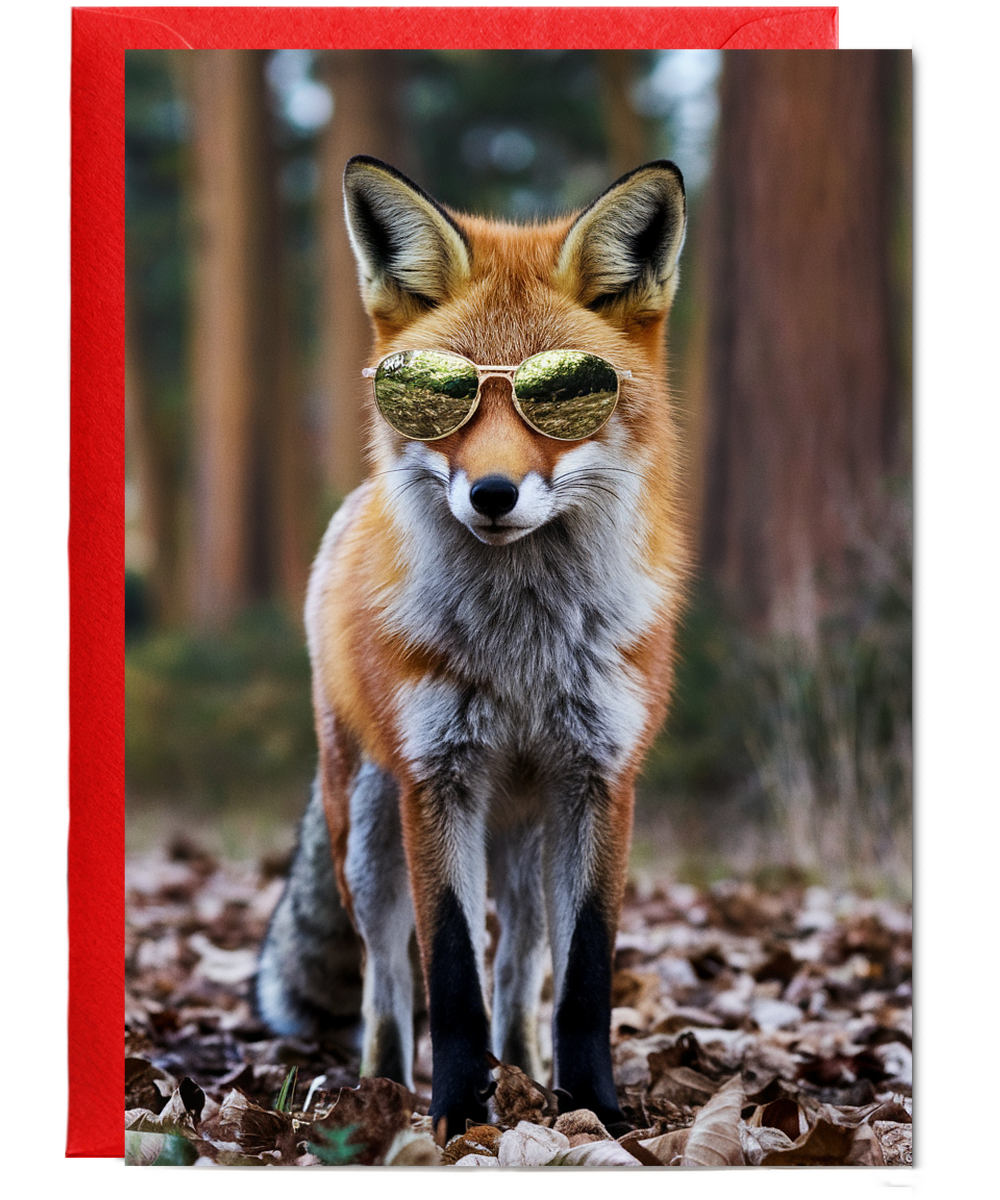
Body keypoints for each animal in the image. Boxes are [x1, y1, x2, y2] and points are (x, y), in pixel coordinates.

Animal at [256, 155, 688, 1141]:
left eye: (565, 395)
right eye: (441, 397)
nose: (492, 494)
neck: (522, 653)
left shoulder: (600, 780)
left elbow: (581, 978)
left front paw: (595, 1110)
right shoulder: (438, 778)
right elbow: (448, 972)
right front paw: (457, 1115)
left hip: (525, 843)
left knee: (522, 968)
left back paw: (526, 1072)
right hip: (368, 830)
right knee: (385, 977)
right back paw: (382, 1093)